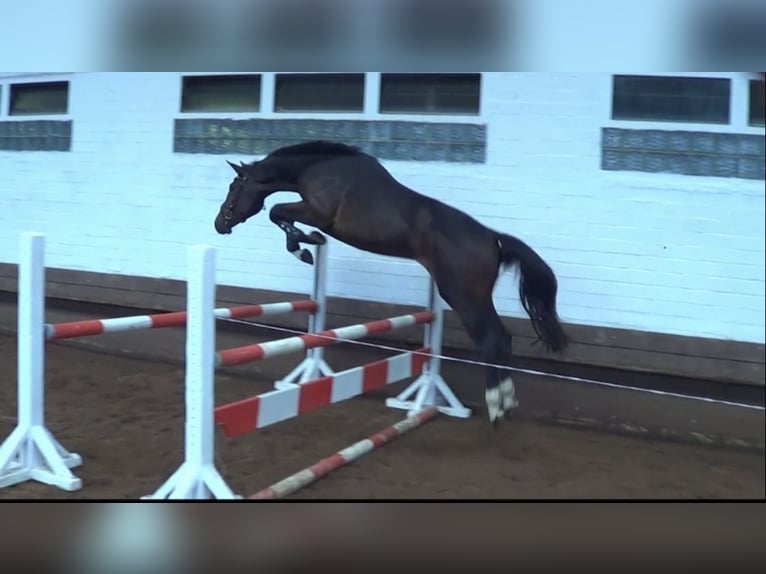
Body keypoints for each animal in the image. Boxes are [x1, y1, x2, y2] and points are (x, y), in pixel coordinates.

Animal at [213, 141, 568, 428]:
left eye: (233, 186)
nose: (220, 224)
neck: (320, 168)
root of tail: (492, 239)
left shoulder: (318, 214)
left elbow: (277, 213)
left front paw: (304, 247)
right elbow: (279, 215)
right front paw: (306, 244)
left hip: (462, 295)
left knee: (492, 340)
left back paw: (496, 407)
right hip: (472, 296)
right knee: (503, 339)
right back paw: (507, 403)